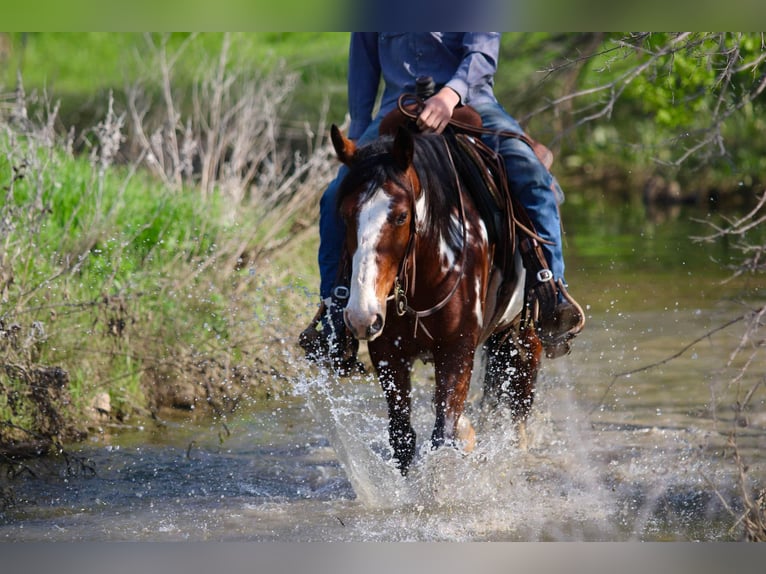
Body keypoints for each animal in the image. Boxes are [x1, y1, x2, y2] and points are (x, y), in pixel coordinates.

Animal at [332, 122, 544, 476]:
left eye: (401, 216)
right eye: (345, 215)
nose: (361, 316)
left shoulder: (457, 350)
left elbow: (442, 438)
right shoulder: (388, 354)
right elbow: (402, 436)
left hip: (526, 336)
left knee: (520, 410)